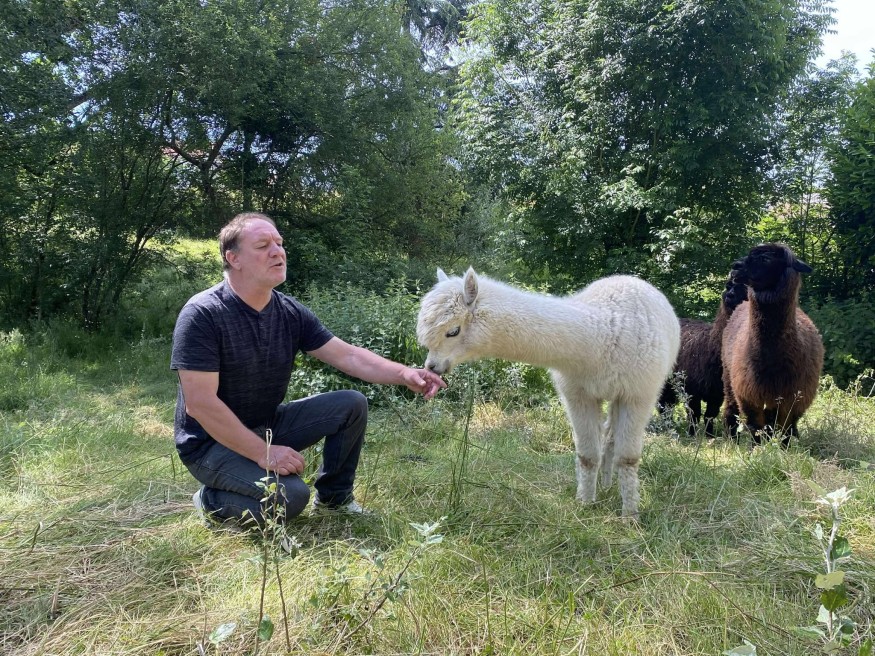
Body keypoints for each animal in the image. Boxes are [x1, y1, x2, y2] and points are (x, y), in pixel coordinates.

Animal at [416, 267, 681, 518]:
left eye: (453, 331)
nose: (432, 366)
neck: (600, 337)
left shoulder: (638, 393)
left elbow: (628, 458)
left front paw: (630, 516)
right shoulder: (578, 392)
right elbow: (587, 455)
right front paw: (585, 505)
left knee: (613, 439)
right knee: (608, 436)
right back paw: (605, 485)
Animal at [659, 265, 748, 436]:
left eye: (744, 288)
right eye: (728, 286)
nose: (730, 296)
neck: (711, 348)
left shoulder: (717, 392)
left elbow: (710, 414)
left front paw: (709, 435)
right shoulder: (692, 387)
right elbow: (694, 413)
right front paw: (692, 434)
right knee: (663, 404)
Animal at [721, 243, 824, 443]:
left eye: (766, 259)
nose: (735, 267)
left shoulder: (795, 397)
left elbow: (786, 430)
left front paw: (783, 447)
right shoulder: (749, 394)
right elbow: (756, 429)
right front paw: (758, 449)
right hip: (729, 375)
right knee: (731, 408)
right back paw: (732, 439)